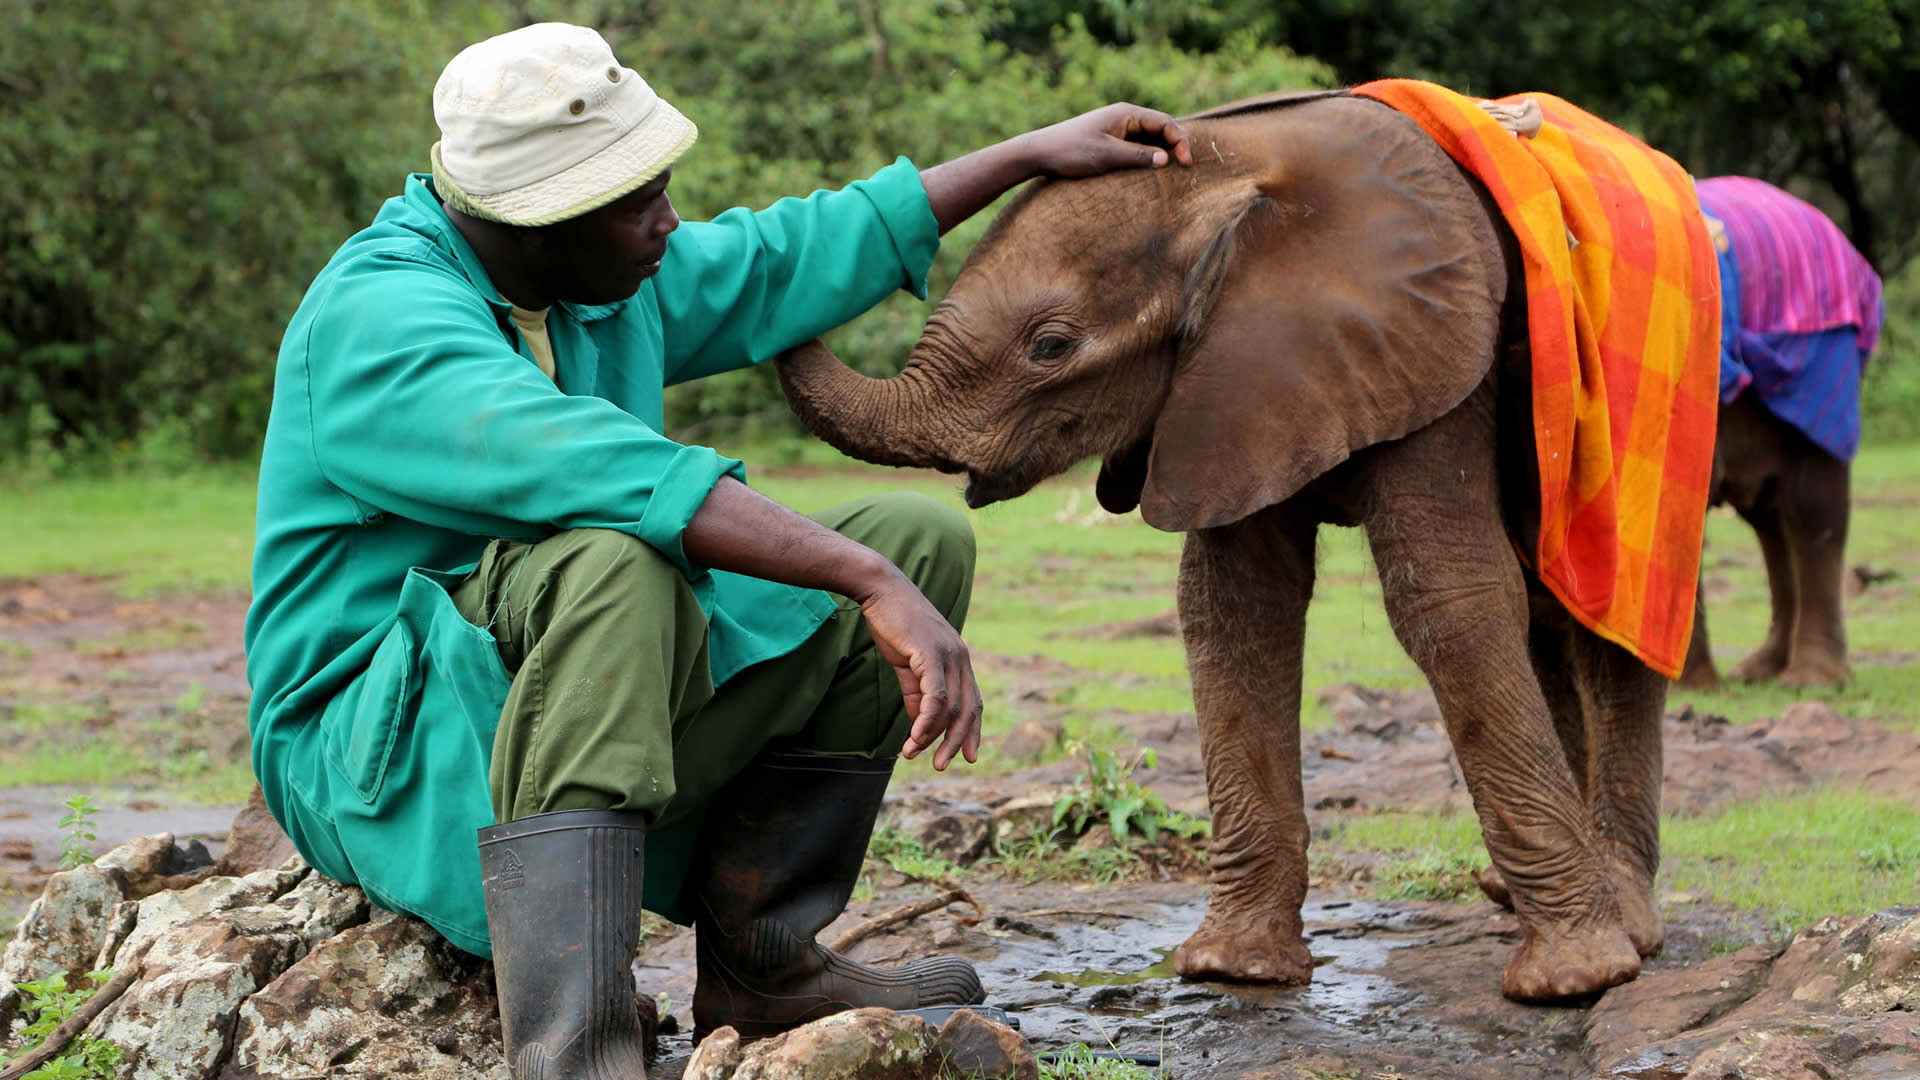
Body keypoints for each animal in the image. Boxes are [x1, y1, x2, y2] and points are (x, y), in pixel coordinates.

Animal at [771, 88, 1704, 999]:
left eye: (1051, 346)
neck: (1224, 174)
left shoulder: (1427, 351)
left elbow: (1447, 599)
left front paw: (1573, 981)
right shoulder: (1231, 385)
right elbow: (1234, 607)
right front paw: (1236, 970)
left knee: (1607, 631)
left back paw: (1625, 923)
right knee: (1547, 613)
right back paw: (1518, 895)